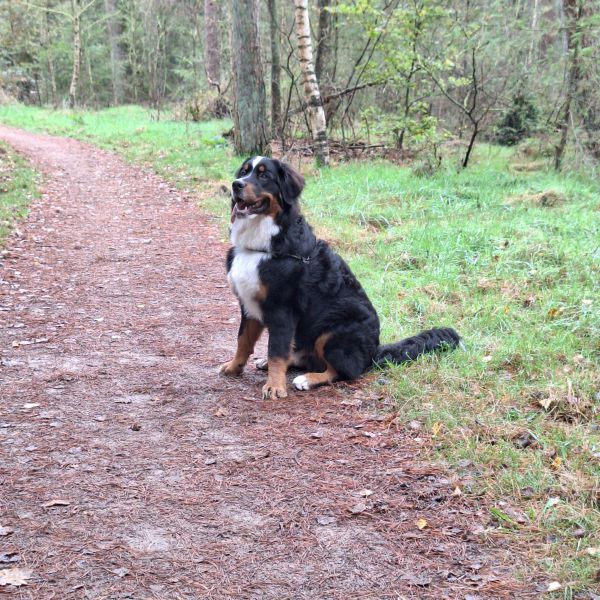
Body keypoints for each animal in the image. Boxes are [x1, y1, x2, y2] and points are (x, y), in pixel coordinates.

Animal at [220, 156, 460, 398]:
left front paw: (275, 386)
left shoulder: (282, 309)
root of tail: (374, 351)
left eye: (264, 175)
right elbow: (243, 340)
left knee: (343, 370)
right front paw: (234, 367)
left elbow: (276, 351)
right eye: (244, 172)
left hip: (333, 329)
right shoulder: (248, 304)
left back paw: (308, 379)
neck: (261, 246)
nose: (236, 184)